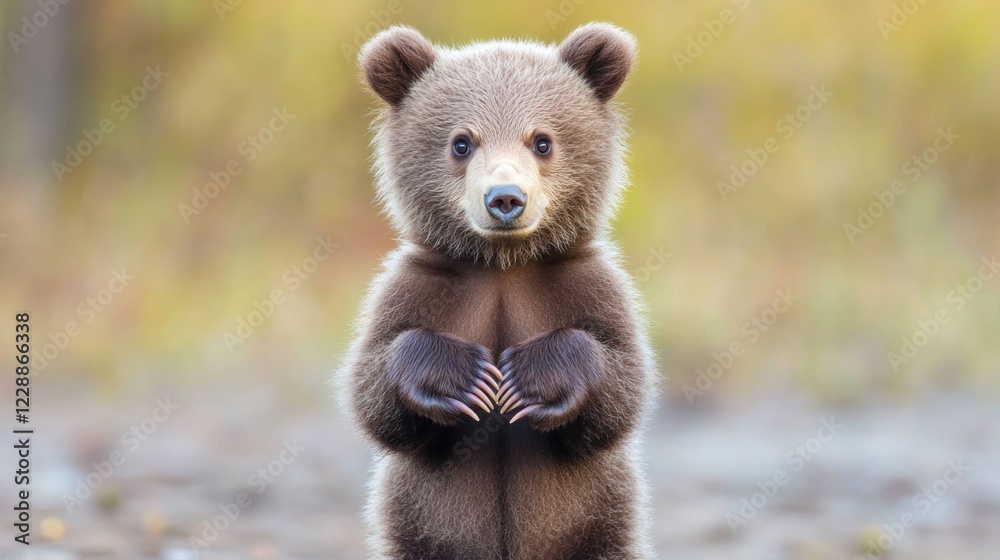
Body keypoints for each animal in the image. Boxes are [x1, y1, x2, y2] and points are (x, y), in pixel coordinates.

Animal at [339, 22, 656, 560]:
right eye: (462, 143)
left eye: (542, 141)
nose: (505, 198)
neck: (503, 264)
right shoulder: (419, 284)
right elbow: (371, 387)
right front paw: (468, 378)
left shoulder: (587, 283)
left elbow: (623, 382)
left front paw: (525, 376)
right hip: (417, 524)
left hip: (599, 518)